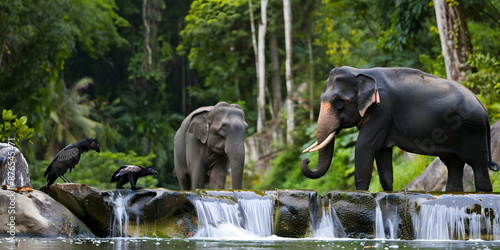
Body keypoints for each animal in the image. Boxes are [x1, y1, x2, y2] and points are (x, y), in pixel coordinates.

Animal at [300, 66, 500, 191]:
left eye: (339, 102)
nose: (307, 160)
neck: (361, 72)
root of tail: (482, 105)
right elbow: (382, 151)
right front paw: (388, 191)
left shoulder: (383, 108)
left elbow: (365, 145)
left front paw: (361, 193)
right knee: (453, 164)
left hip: (473, 131)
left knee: (478, 165)